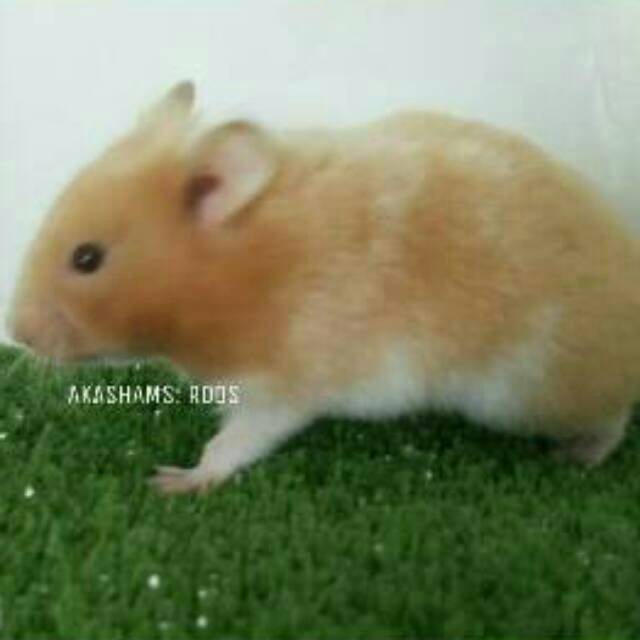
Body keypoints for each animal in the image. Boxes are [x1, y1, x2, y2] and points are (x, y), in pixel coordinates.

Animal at [8, 80, 640, 494]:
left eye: (87, 258)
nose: (15, 333)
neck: (238, 273)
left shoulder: (280, 391)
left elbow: (232, 446)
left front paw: (174, 481)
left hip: (531, 392)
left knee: (614, 417)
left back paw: (576, 458)